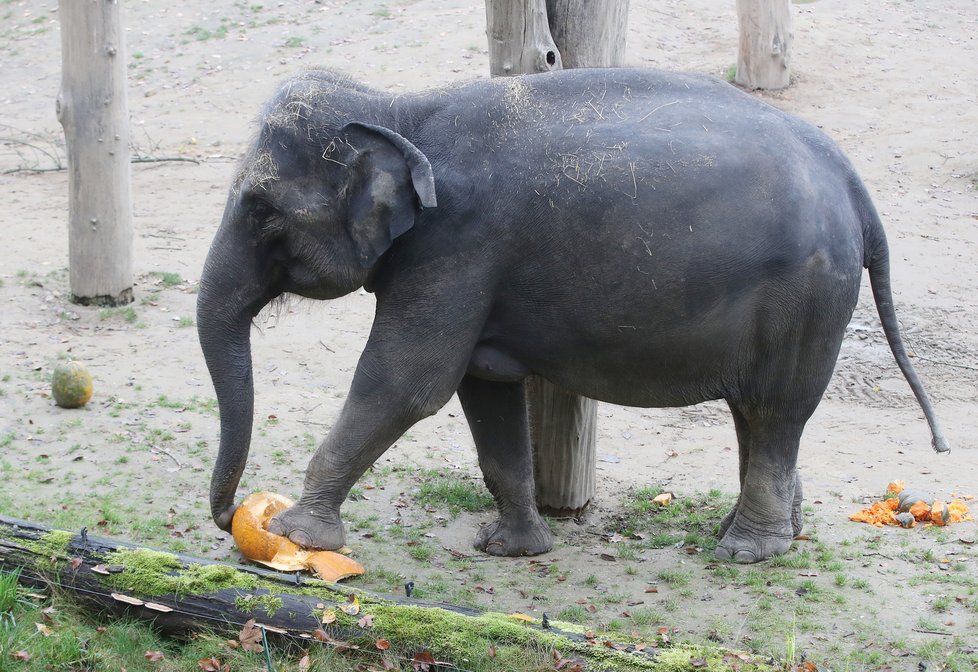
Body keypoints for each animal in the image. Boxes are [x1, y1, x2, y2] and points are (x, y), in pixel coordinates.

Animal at [198, 67, 944, 560]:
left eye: (262, 210)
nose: (231, 514)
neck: (400, 107)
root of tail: (854, 185)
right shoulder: (466, 270)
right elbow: (485, 392)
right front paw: (510, 547)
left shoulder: (456, 248)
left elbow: (405, 384)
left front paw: (293, 536)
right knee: (755, 418)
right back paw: (770, 533)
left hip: (807, 296)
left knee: (774, 411)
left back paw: (745, 552)